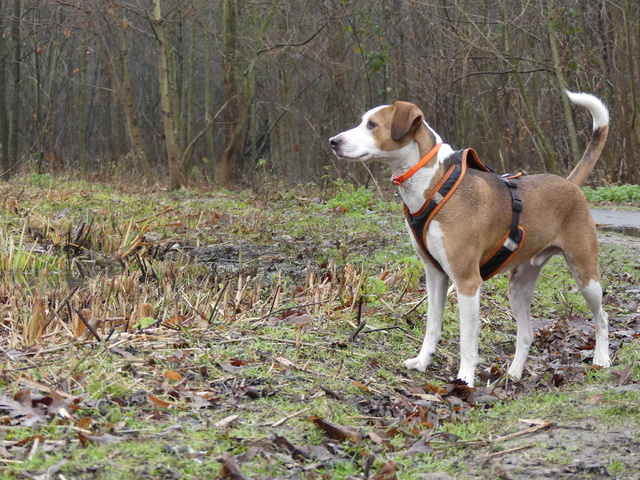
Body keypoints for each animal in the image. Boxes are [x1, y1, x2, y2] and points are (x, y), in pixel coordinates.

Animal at [332, 92, 612, 388]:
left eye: (372, 124)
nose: (333, 142)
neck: (435, 185)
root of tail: (570, 183)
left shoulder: (467, 282)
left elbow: (467, 340)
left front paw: (465, 378)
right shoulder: (435, 276)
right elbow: (432, 326)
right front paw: (422, 362)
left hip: (585, 275)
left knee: (602, 317)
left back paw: (601, 359)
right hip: (518, 286)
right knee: (526, 334)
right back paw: (513, 374)